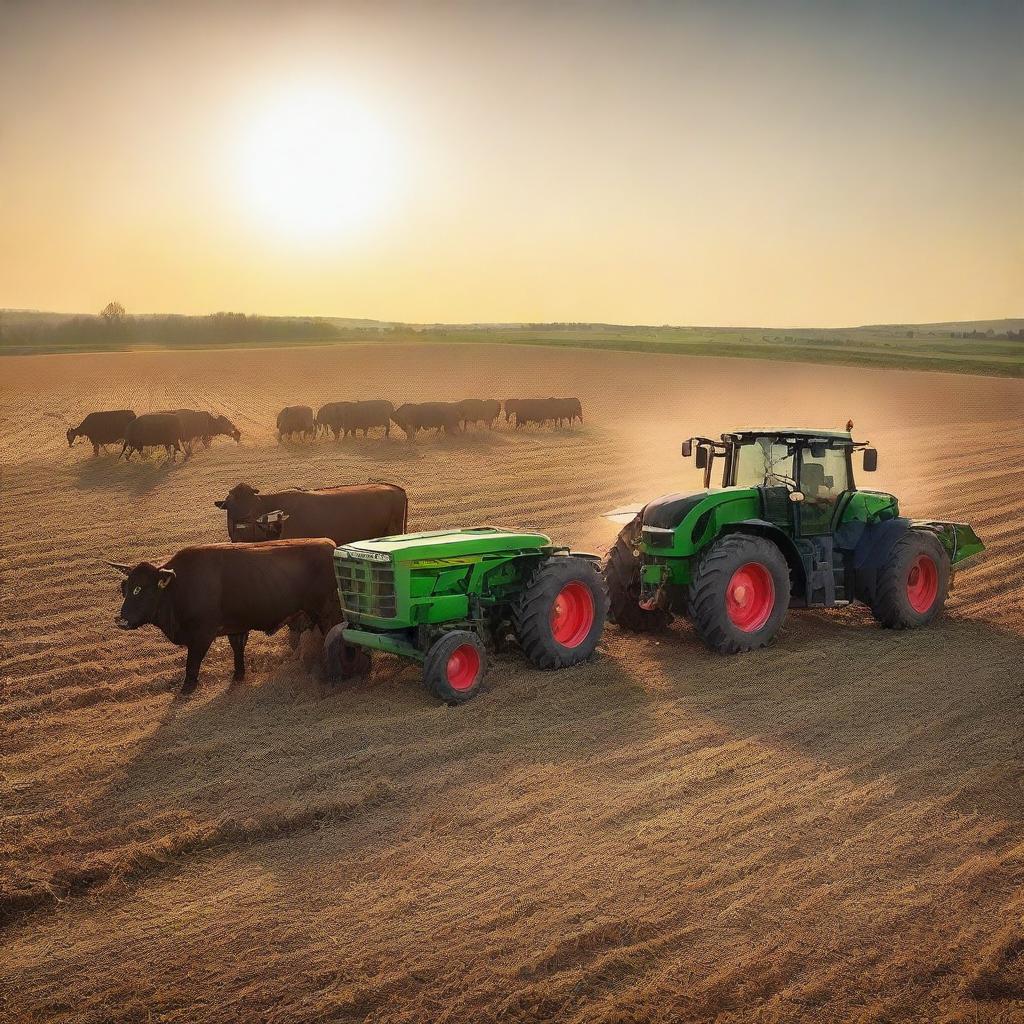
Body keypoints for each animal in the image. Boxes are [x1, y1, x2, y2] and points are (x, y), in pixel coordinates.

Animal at [109, 536, 354, 696]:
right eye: (125, 587)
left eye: (139, 589)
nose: (122, 620)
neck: (179, 587)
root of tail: (331, 546)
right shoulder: (235, 627)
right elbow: (237, 650)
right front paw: (238, 675)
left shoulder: (202, 635)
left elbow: (192, 662)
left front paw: (187, 687)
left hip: (327, 613)